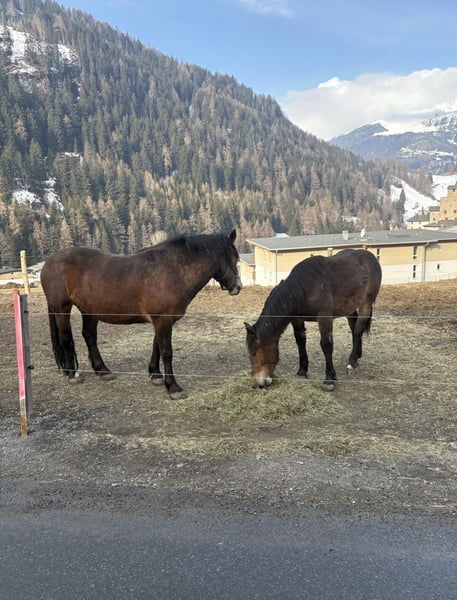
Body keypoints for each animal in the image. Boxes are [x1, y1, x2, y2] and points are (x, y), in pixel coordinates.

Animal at [40, 230, 242, 400]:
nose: (238, 287)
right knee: (66, 338)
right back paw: (72, 373)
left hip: (89, 310)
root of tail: (50, 261)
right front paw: (173, 386)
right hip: (62, 308)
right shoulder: (162, 319)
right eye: (235, 258)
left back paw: (102, 371)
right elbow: (167, 352)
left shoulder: (163, 320)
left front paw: (155, 375)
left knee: (89, 337)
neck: (172, 270)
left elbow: (156, 346)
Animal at [245, 248, 382, 391]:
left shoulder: (324, 318)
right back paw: (357, 356)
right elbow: (300, 341)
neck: (306, 288)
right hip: (350, 307)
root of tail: (370, 255)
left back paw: (352, 363)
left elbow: (326, 345)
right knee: (353, 326)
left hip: (366, 303)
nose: (260, 382)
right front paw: (302, 371)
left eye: (254, 353)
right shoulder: (297, 319)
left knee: (358, 329)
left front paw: (329, 378)